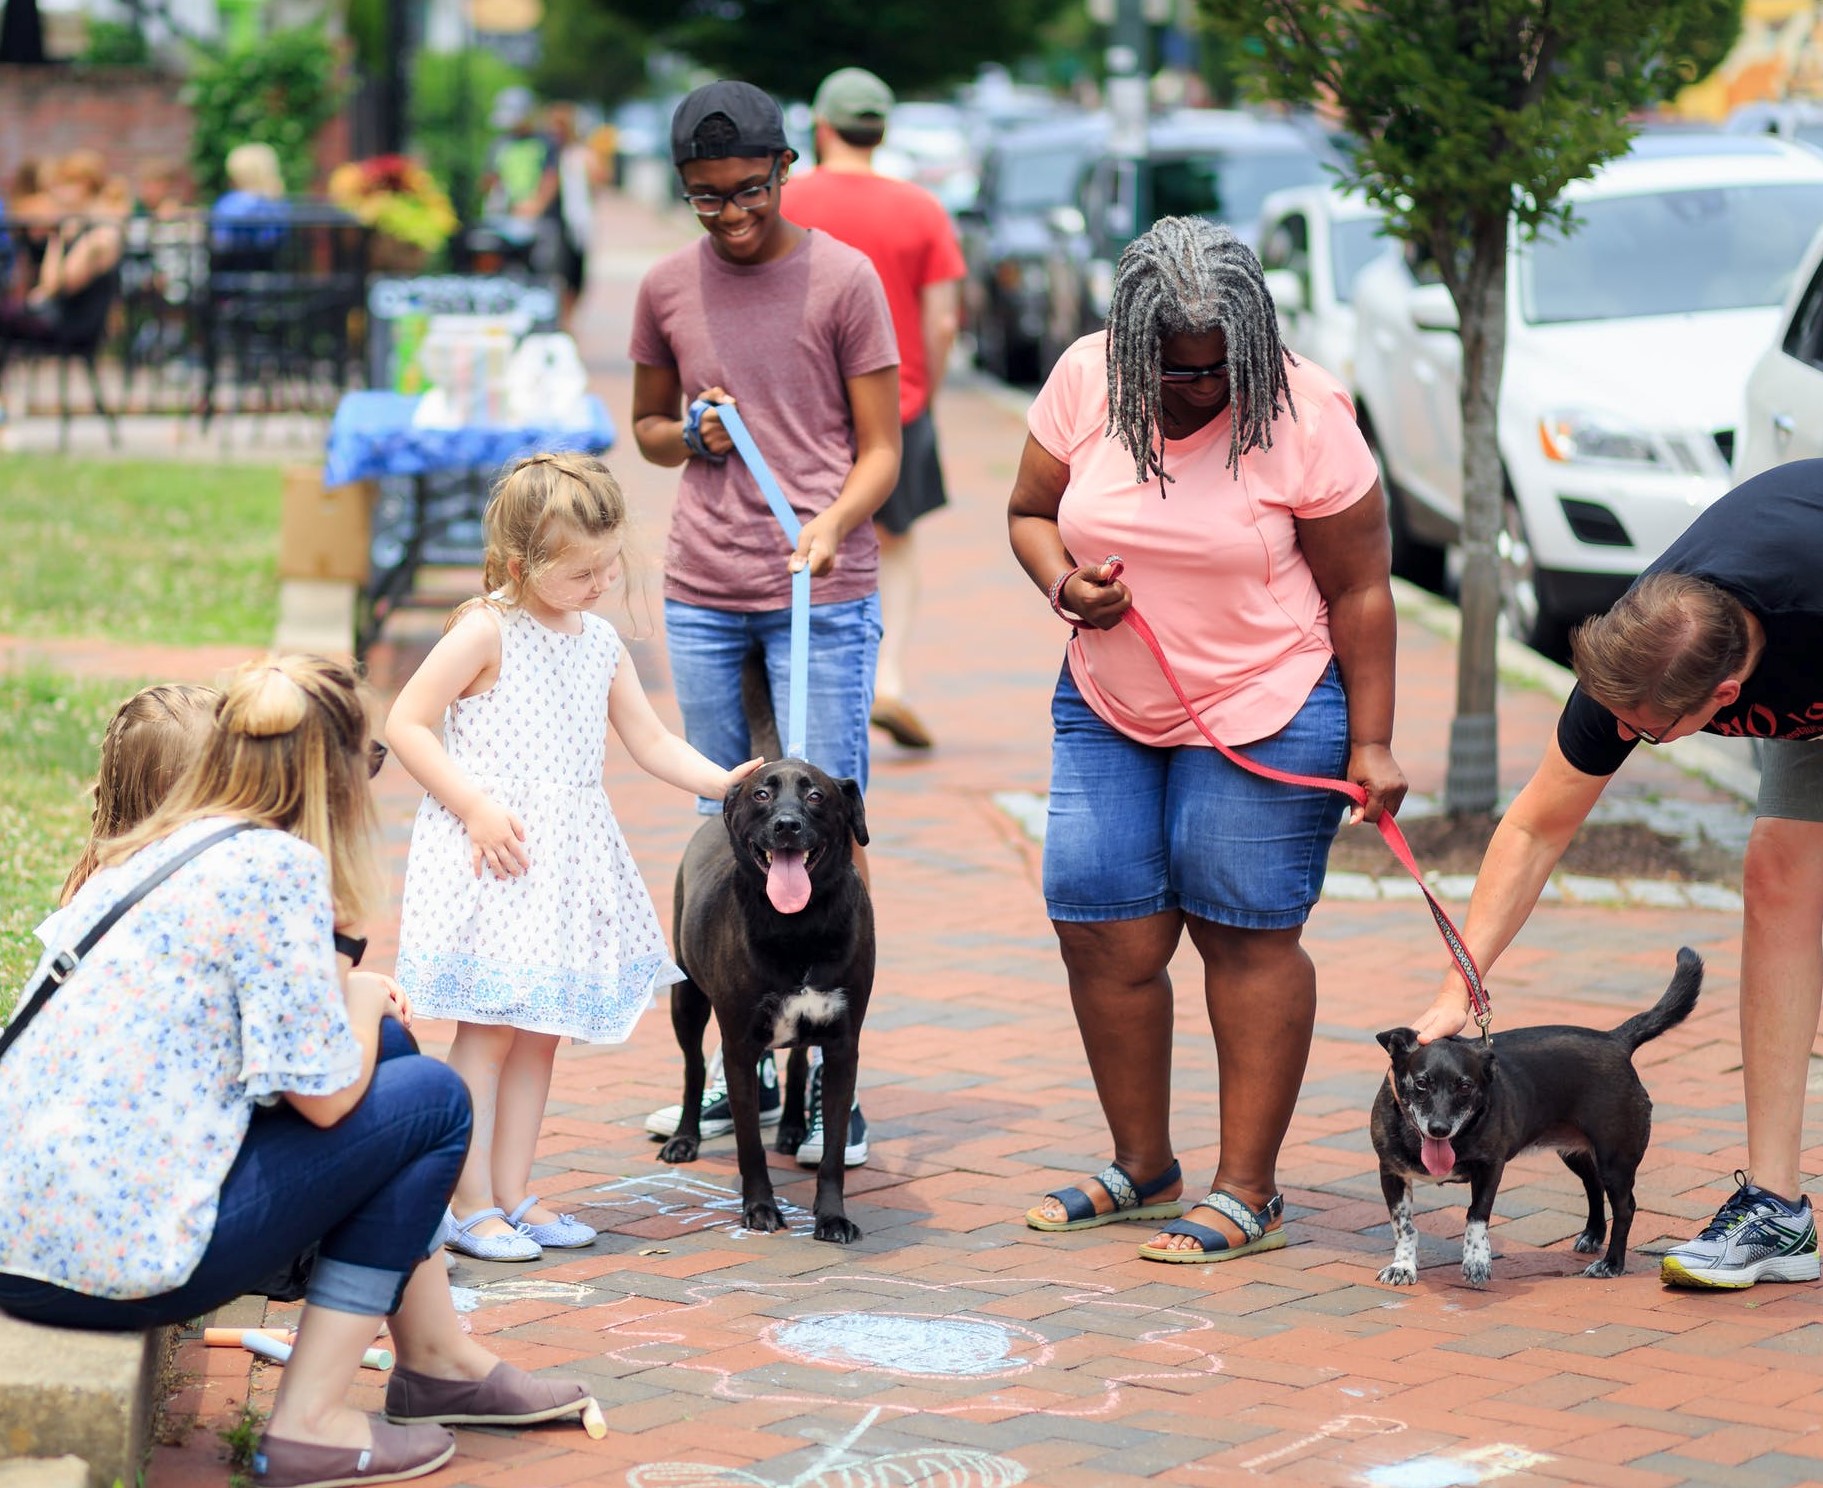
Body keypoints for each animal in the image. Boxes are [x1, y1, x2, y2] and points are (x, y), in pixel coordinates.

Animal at [656, 754, 875, 1247]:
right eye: (762, 794)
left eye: (816, 795)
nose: (787, 825)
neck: (799, 924)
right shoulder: (739, 1047)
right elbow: (749, 1144)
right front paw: (759, 1208)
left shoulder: (843, 1045)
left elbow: (833, 1151)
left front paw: (832, 1217)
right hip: (686, 998)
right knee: (693, 1068)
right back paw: (684, 1137)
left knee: (796, 1062)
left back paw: (793, 1127)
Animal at [1370, 948, 1699, 1283]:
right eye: (1421, 1084)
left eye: (1465, 1086)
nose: (1439, 1128)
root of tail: (1616, 1040)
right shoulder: (1391, 1173)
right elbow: (1404, 1226)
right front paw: (1403, 1265)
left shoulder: (1491, 1168)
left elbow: (1476, 1215)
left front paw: (1477, 1260)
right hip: (1575, 1153)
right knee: (1593, 1185)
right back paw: (1592, 1235)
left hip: (1615, 1159)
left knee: (1625, 1207)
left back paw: (1611, 1263)